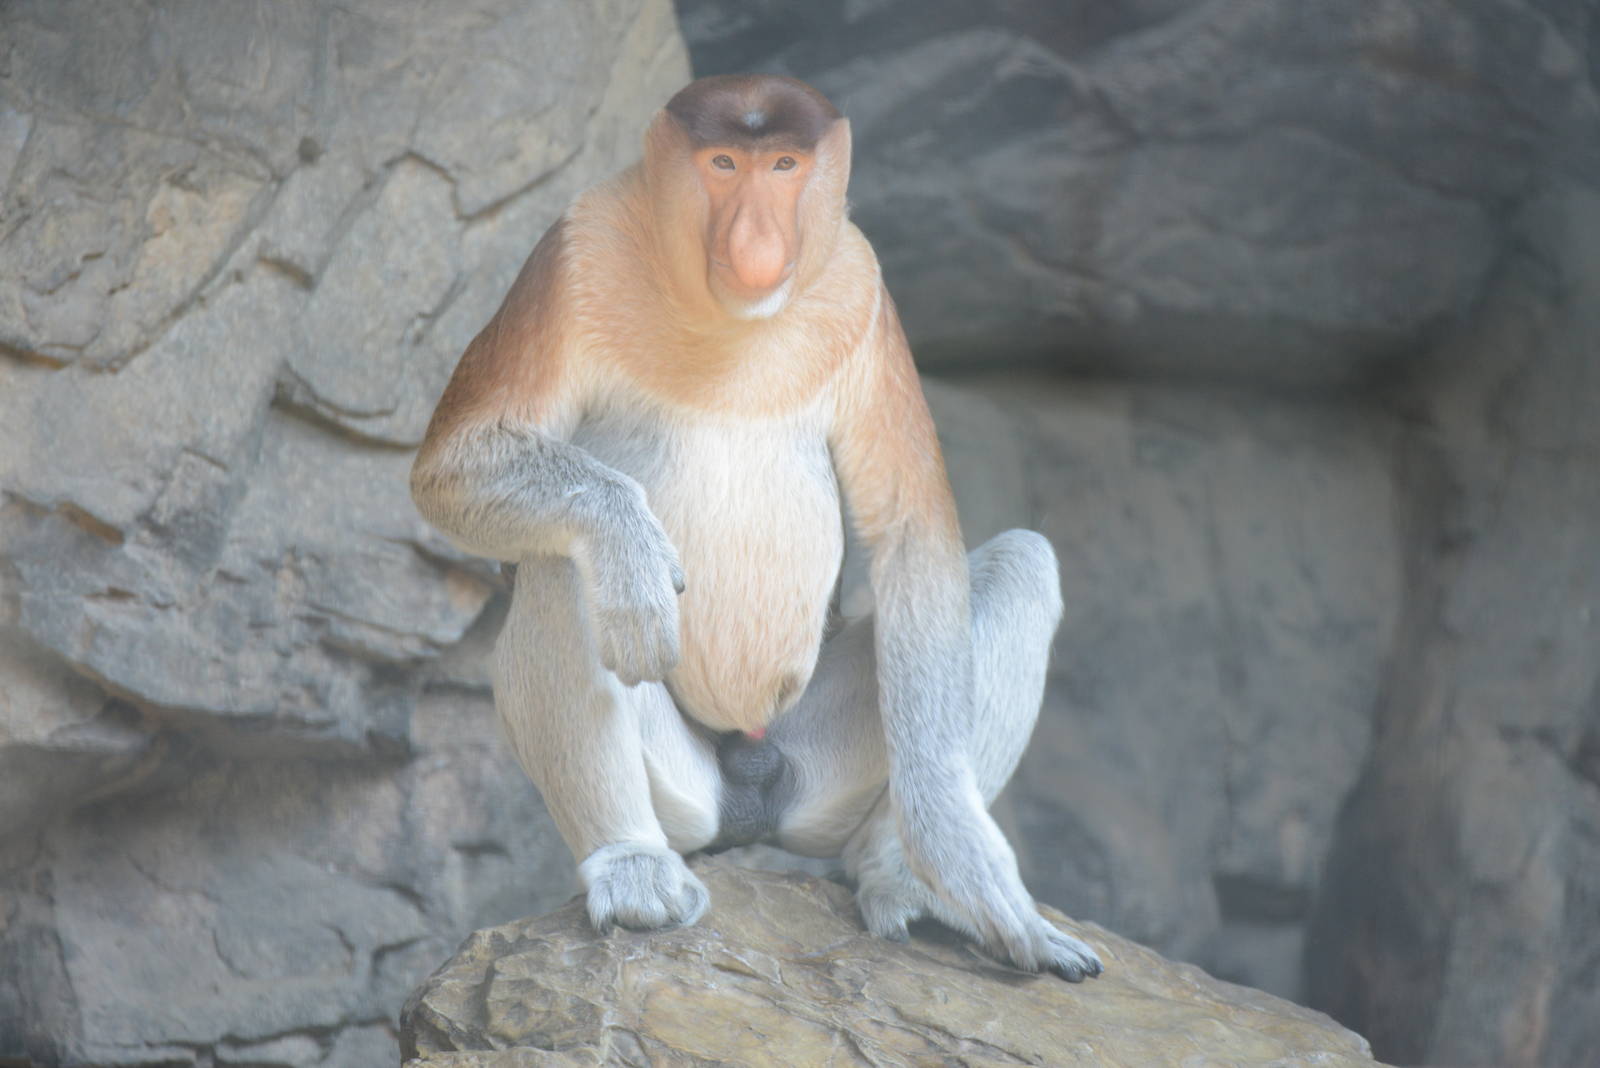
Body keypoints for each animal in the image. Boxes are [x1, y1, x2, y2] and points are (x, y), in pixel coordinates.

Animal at [410, 74, 1102, 982]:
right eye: (722, 164)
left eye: (783, 166)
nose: (756, 241)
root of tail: (749, 796)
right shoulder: (572, 254)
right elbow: (452, 466)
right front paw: (628, 544)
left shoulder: (861, 288)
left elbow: (911, 531)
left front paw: (961, 867)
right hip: (686, 790)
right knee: (566, 566)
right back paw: (634, 868)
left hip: (819, 756)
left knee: (1021, 560)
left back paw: (904, 882)